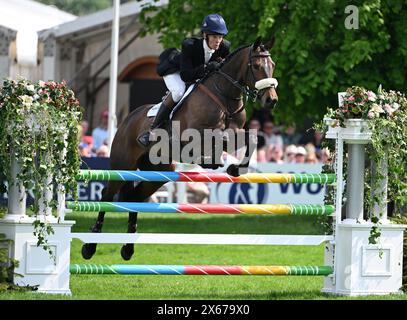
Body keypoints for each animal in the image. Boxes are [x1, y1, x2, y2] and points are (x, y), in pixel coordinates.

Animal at [81, 37, 278, 260]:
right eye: (256, 66)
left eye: (272, 65)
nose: (271, 100)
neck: (224, 96)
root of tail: (127, 120)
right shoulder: (193, 136)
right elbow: (217, 138)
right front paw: (213, 161)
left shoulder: (236, 133)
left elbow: (250, 138)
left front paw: (235, 168)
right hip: (122, 165)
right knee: (106, 195)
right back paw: (90, 247)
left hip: (158, 172)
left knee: (134, 199)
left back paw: (127, 249)